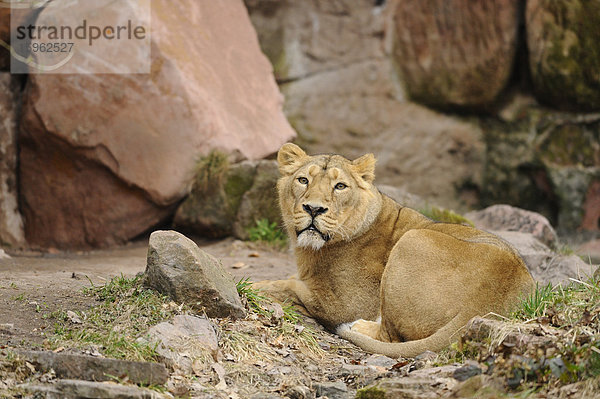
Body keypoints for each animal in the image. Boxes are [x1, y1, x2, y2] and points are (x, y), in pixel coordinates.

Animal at [255, 144, 536, 360]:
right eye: (303, 180)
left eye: (340, 186)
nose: (314, 209)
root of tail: (485, 304)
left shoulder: (345, 304)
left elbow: (287, 286)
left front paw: (257, 286)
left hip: (412, 240)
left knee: (389, 337)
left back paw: (358, 327)